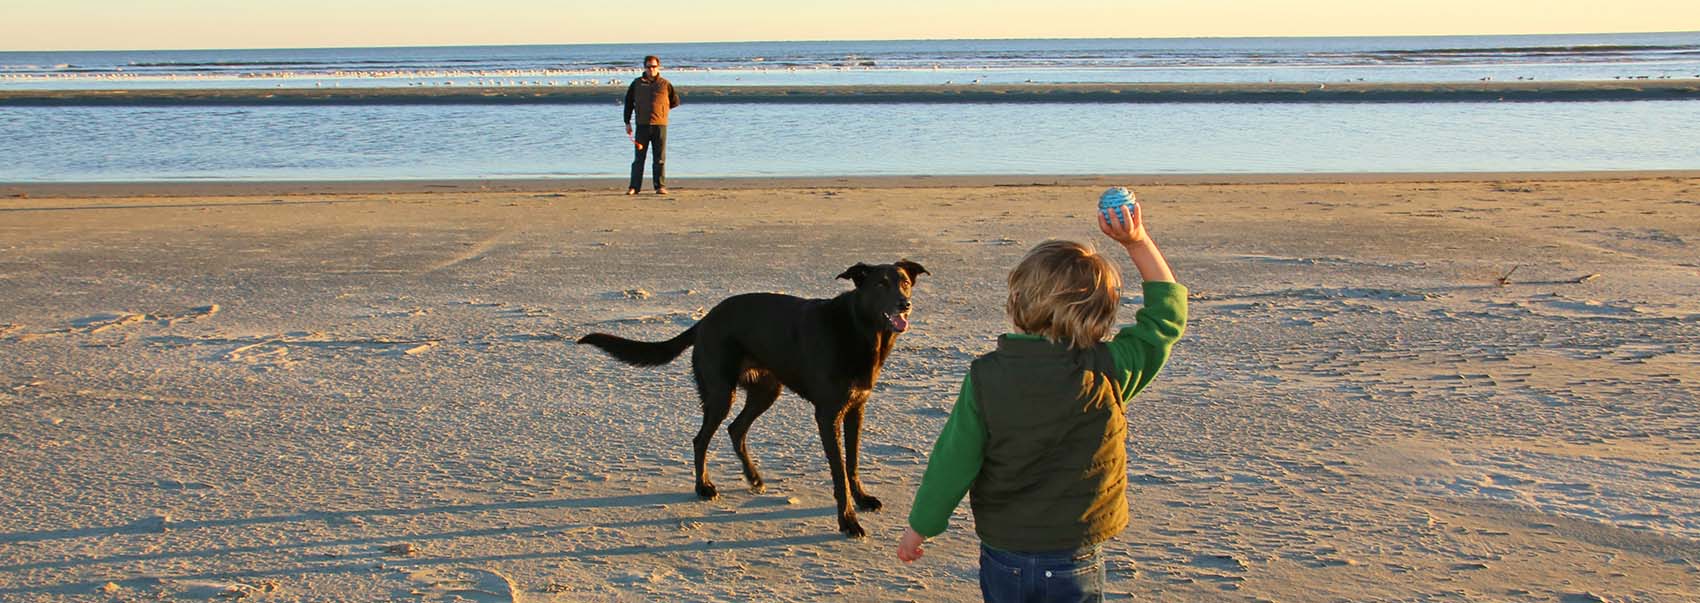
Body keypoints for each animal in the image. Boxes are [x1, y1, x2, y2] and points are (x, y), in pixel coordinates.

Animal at [581, 261, 931, 540]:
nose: (905, 304)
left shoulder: (856, 409)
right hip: (721, 392)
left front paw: (862, 499)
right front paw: (847, 521)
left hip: (766, 391)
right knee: (701, 439)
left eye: (904, 281)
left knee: (736, 429)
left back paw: (753, 477)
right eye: (880, 284)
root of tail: (705, 320)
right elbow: (839, 473)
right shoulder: (827, 415)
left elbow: (853, 463)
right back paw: (703, 487)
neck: (861, 330)